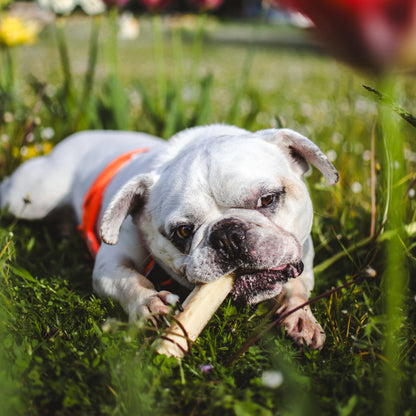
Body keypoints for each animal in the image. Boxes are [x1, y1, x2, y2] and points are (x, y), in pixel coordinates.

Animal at [0, 125, 338, 350]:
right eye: (183, 231)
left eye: (268, 199)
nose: (227, 235)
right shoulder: (109, 265)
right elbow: (130, 279)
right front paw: (151, 305)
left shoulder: (303, 252)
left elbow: (296, 285)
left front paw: (300, 317)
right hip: (30, 198)